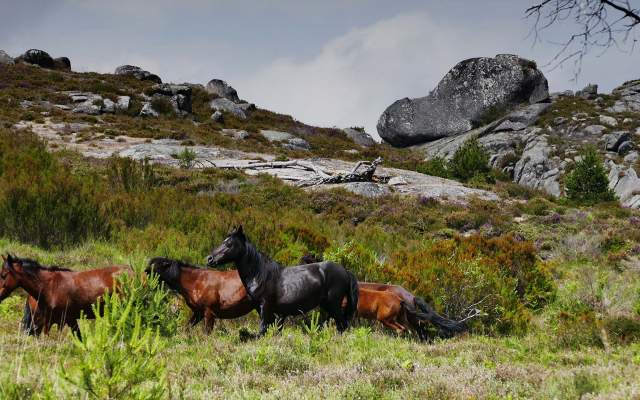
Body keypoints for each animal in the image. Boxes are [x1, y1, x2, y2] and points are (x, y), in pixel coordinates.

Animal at [210, 227, 360, 336]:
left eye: (229, 244)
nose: (210, 259)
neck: (260, 274)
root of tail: (345, 271)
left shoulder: (265, 307)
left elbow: (263, 330)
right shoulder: (265, 310)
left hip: (333, 304)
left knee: (343, 325)